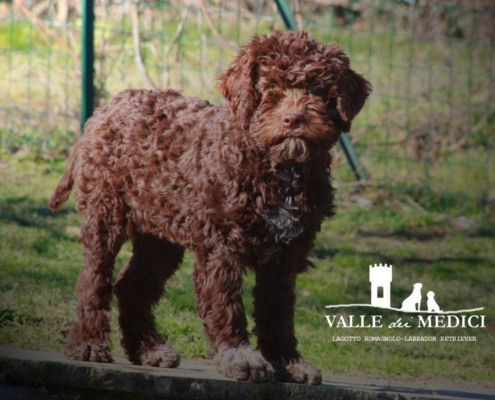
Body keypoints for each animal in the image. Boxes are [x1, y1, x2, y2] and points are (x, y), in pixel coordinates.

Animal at [49, 32, 372, 384]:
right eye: (270, 86)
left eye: (316, 88)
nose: (293, 119)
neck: (277, 166)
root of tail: (106, 109)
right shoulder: (223, 244)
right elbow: (227, 303)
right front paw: (240, 357)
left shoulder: (287, 254)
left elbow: (278, 313)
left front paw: (289, 362)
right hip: (105, 216)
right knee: (94, 280)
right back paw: (89, 344)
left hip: (160, 233)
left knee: (132, 285)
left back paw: (149, 349)